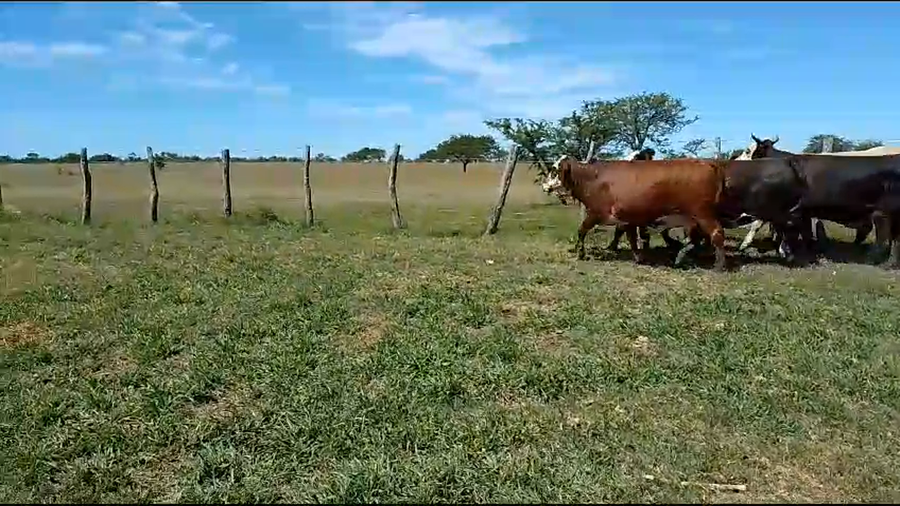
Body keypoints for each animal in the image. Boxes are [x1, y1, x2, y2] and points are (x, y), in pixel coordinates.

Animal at [542, 155, 730, 270]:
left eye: (554, 170)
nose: (544, 186)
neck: (593, 178)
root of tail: (708, 163)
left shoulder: (595, 213)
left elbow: (581, 231)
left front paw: (580, 253)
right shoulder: (627, 219)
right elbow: (631, 239)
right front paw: (639, 257)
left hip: (703, 214)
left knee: (717, 234)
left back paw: (718, 266)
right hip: (693, 219)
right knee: (694, 239)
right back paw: (680, 258)